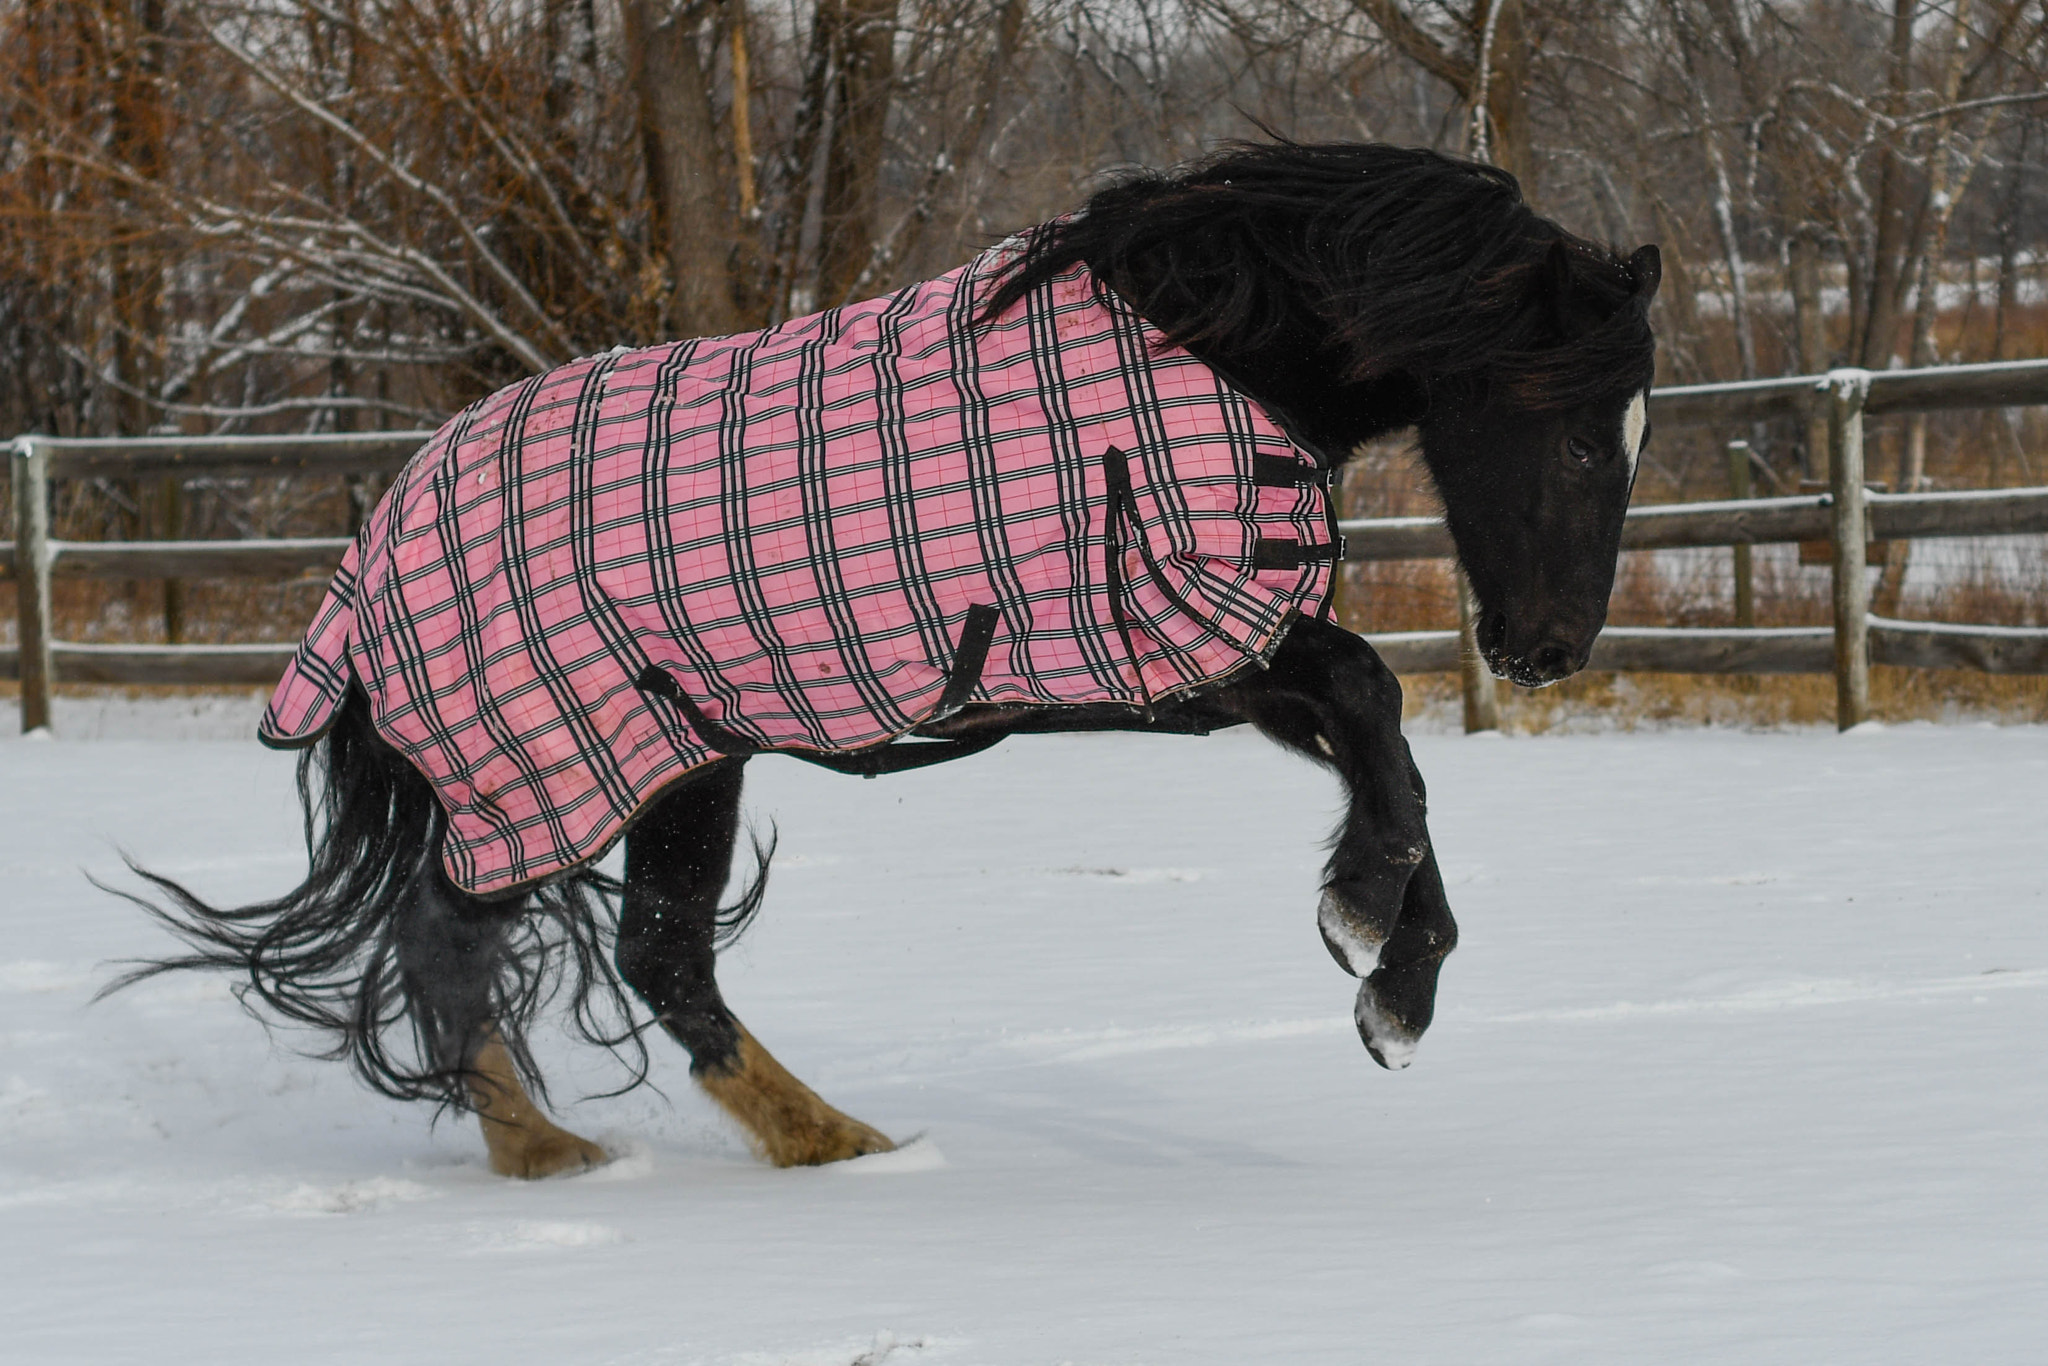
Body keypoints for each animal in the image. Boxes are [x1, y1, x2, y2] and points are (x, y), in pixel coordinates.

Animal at [112, 144, 1654, 1179]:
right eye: (1586, 439)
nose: (1545, 654)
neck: (1199, 348)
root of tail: (376, 542)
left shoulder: (1215, 654)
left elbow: (1391, 766)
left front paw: (1392, 988)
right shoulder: (1171, 640)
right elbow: (1376, 709)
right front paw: (1363, 931)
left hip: (681, 762)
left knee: (659, 954)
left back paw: (832, 1142)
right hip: (542, 772)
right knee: (451, 939)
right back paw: (548, 1155)